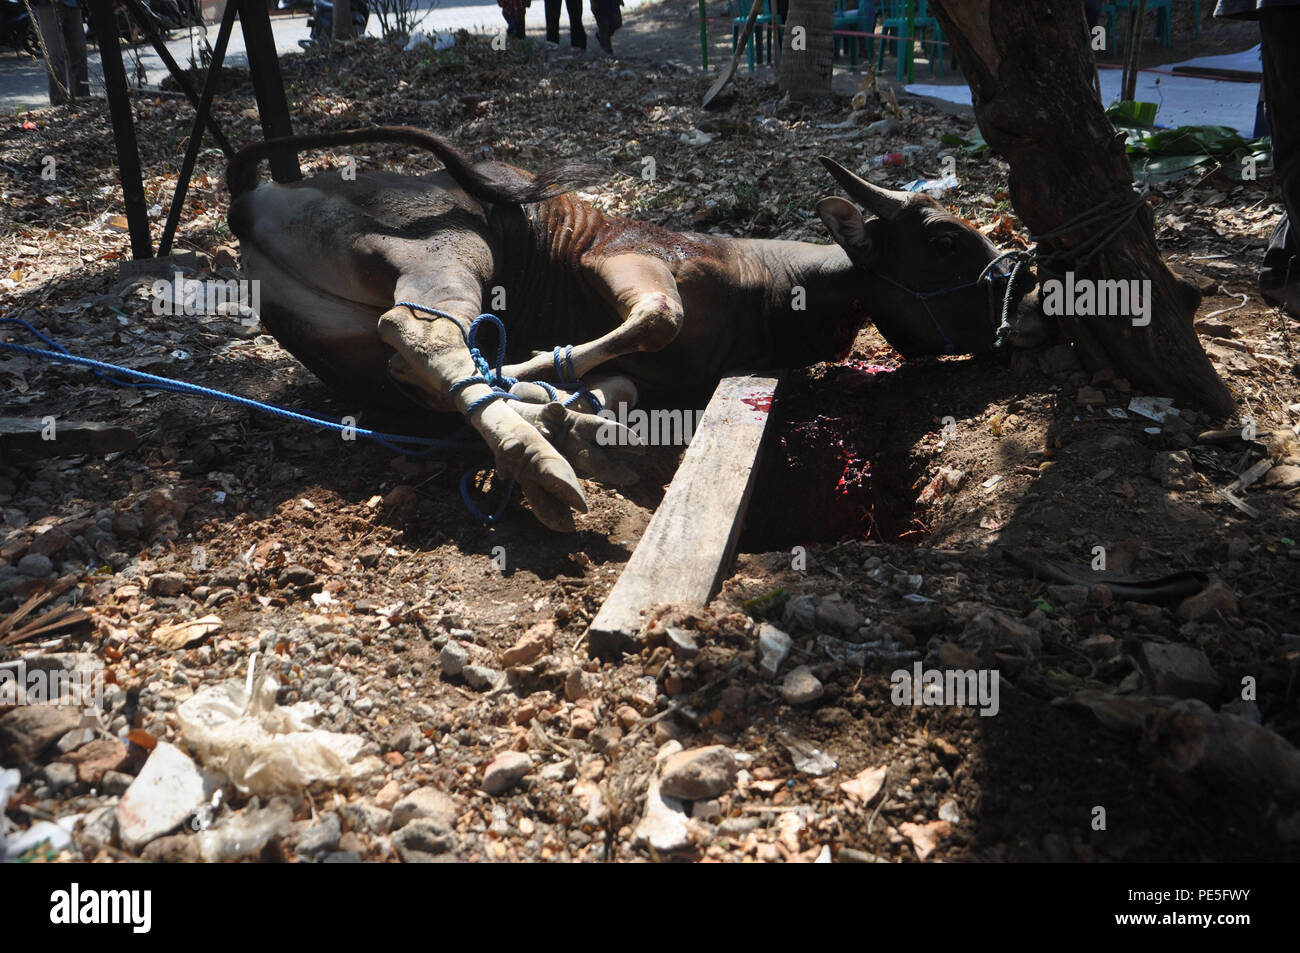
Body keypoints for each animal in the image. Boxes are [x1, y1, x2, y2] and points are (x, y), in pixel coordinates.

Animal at [226, 124, 1045, 527]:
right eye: (946, 240)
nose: (1026, 284)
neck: (777, 291)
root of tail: (252, 197)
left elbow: (612, 383)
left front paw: (567, 405)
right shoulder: (629, 259)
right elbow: (657, 317)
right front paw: (532, 377)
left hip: (354, 342)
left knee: (417, 368)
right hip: (454, 244)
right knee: (423, 334)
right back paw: (537, 460)